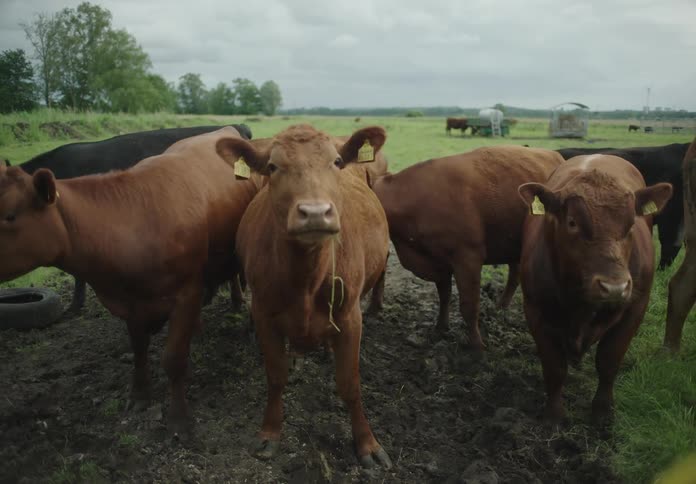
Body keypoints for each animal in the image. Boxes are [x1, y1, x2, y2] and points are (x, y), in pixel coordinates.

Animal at [215, 124, 392, 469]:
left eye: (337, 162)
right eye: (272, 166)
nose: (315, 213)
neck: (306, 279)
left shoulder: (351, 318)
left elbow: (350, 384)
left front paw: (367, 443)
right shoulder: (264, 315)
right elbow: (275, 376)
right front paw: (269, 433)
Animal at [370, 146, 563, 351]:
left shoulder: (468, 258)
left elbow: (469, 306)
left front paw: (476, 346)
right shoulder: (439, 261)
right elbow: (444, 296)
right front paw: (440, 328)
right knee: (514, 274)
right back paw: (500, 308)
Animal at [518, 154, 672, 423]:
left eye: (631, 225)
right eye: (572, 222)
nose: (615, 287)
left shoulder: (635, 308)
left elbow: (609, 360)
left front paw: (602, 411)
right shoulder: (535, 309)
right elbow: (554, 367)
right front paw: (554, 415)